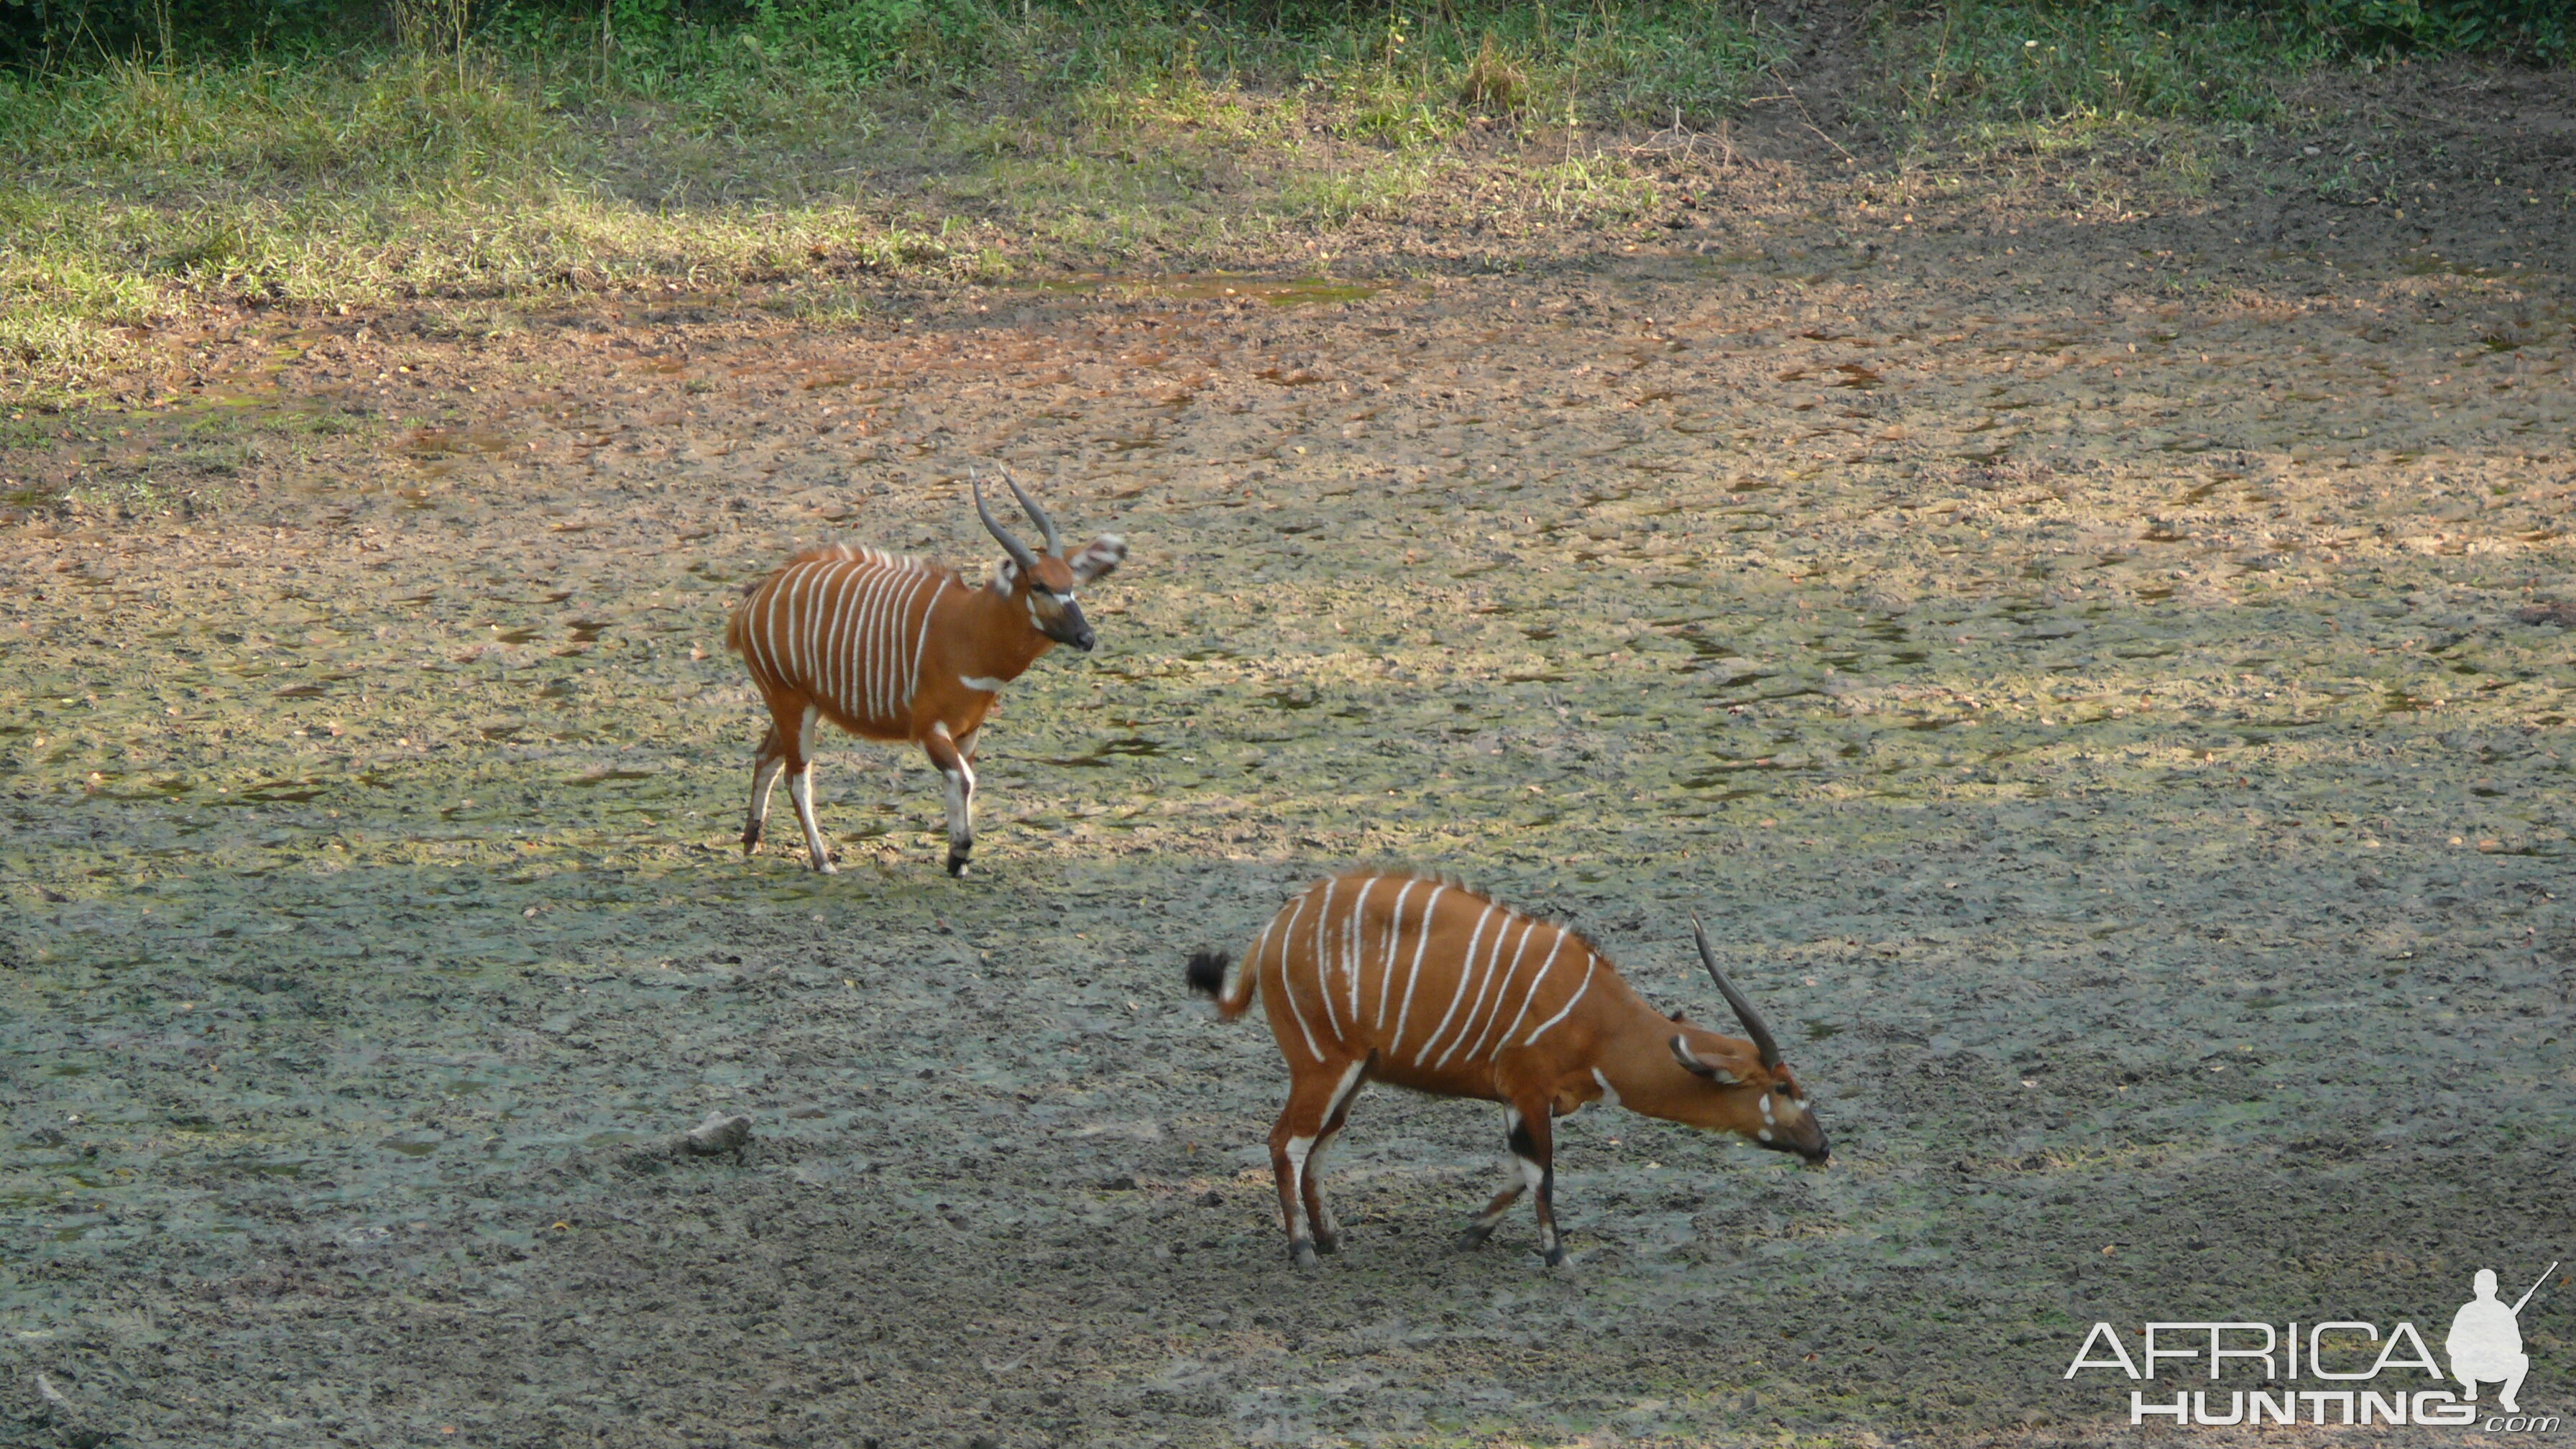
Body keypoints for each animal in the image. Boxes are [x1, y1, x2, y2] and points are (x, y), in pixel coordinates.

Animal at [726, 469, 1128, 876]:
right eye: (1039, 585)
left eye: (1071, 583)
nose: (1086, 637)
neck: (968, 629)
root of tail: (752, 603)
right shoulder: (927, 730)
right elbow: (962, 780)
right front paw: (958, 854)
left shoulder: (967, 733)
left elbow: (965, 782)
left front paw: (959, 863)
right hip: (793, 705)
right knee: (797, 778)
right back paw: (822, 861)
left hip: (798, 706)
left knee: (766, 758)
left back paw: (752, 842)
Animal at [1190, 866, 1834, 1263]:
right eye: (1782, 1085)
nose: (1823, 1146)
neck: (1601, 1019)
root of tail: (1272, 933)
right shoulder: (1527, 1090)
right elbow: (1541, 1175)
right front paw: (1558, 1258)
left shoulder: (1520, 1100)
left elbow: (1518, 1174)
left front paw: (1470, 1234)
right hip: (1322, 1064)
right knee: (1286, 1142)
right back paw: (1302, 1250)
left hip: (1355, 1074)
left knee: (1317, 1146)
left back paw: (1330, 1240)